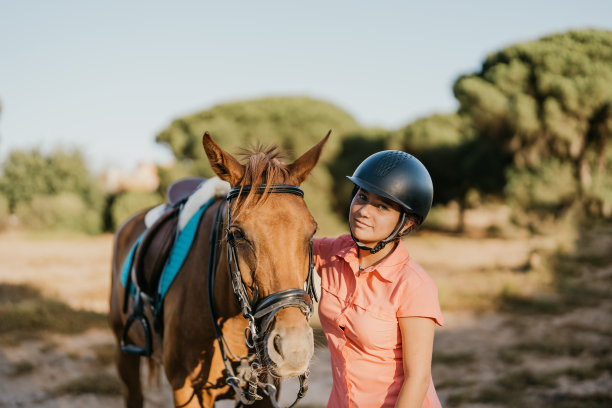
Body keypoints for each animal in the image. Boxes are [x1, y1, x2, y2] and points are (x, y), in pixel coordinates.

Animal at [110, 132, 330, 406]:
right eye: (237, 234)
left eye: (312, 231)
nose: (294, 348)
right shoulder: (187, 391)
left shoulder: (267, 393)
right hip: (125, 354)